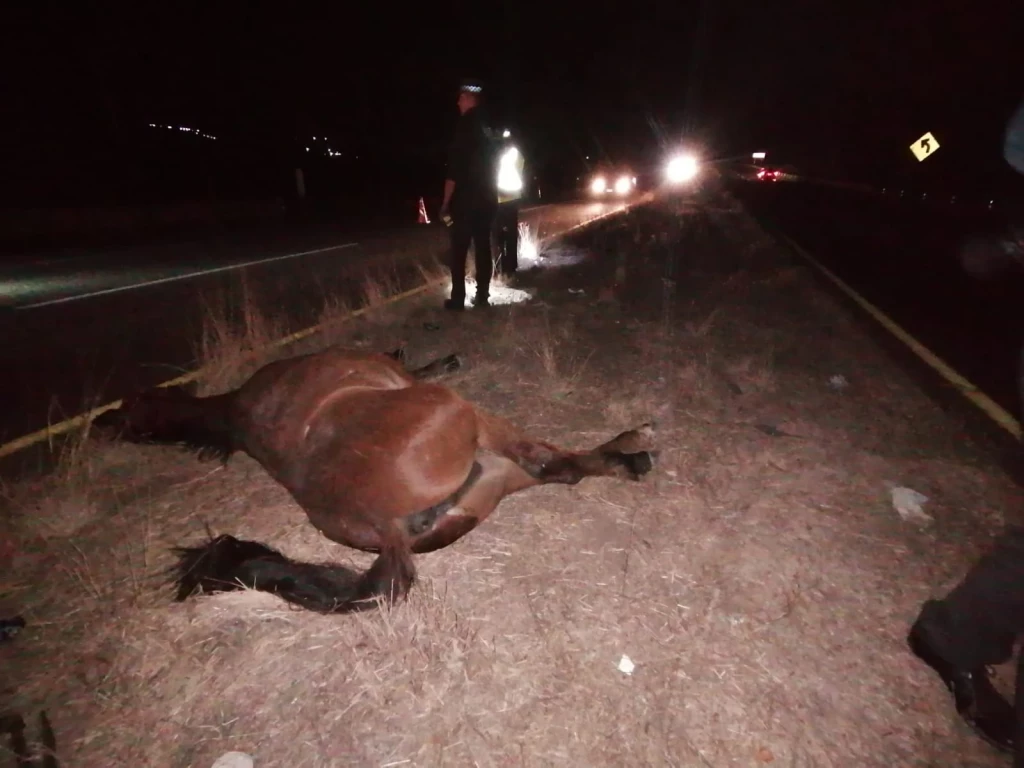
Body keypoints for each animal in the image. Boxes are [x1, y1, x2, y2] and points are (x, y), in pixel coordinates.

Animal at [97, 348, 655, 614]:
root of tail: (382, 525)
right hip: (472, 422)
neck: (235, 410)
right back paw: (633, 445)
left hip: (493, 478)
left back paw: (628, 458)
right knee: (549, 462)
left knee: (561, 470)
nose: (104, 424)